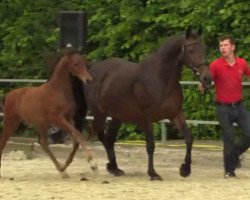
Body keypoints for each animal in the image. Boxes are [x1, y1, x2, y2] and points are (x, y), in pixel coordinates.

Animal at [0, 50, 96, 178]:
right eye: (76, 64)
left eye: (85, 63)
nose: (88, 80)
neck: (58, 91)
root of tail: (8, 95)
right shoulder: (58, 119)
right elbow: (78, 134)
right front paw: (93, 163)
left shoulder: (69, 118)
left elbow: (75, 140)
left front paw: (66, 166)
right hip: (11, 122)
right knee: (3, 141)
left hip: (41, 124)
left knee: (44, 143)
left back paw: (62, 170)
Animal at [85, 28, 212, 181]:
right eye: (191, 50)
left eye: (204, 49)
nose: (207, 78)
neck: (161, 78)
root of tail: (93, 67)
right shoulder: (147, 118)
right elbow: (150, 145)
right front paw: (153, 173)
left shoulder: (176, 114)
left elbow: (189, 138)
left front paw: (185, 169)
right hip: (100, 114)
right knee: (99, 136)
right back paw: (104, 165)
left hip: (117, 117)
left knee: (109, 139)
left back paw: (114, 168)